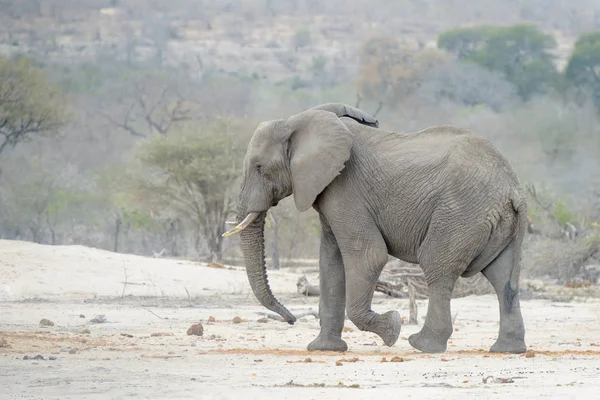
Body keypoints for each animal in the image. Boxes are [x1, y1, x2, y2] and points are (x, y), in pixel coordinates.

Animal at [223, 102, 528, 354]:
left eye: (259, 168)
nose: (291, 320)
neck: (295, 122)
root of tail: (514, 189)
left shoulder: (345, 189)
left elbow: (369, 256)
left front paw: (392, 327)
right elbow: (330, 263)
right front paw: (324, 349)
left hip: (462, 212)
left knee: (437, 267)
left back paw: (422, 345)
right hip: (495, 221)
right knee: (503, 278)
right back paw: (507, 349)